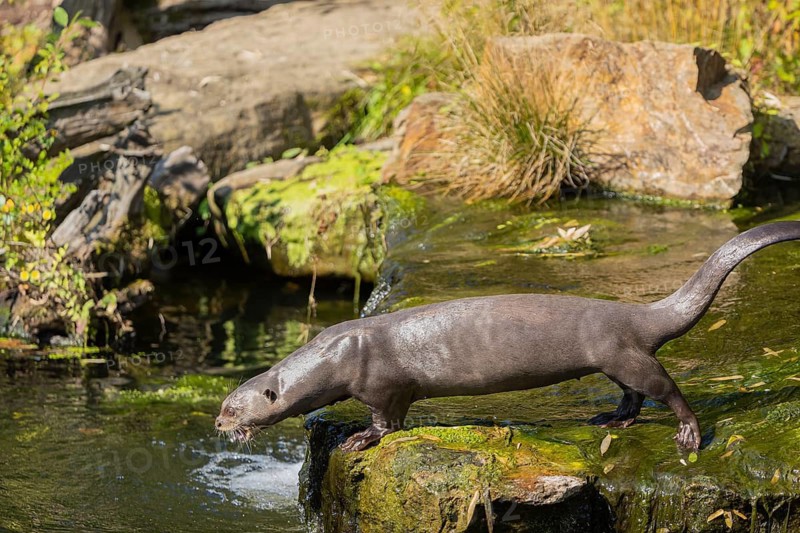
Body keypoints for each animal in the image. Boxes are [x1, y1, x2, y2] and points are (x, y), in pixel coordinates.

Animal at [215, 221, 800, 452]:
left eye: (234, 409)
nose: (221, 426)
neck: (335, 355)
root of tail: (636, 315)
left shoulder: (382, 386)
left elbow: (387, 423)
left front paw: (359, 438)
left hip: (624, 353)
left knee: (668, 389)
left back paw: (688, 434)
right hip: (617, 358)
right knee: (632, 394)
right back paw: (611, 420)